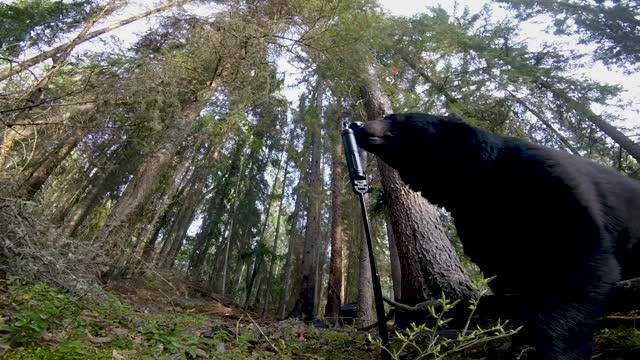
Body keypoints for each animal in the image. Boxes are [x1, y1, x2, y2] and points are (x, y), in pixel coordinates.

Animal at [350, 113, 640, 360]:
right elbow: (507, 273)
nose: (357, 125)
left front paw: (539, 348)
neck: (480, 185)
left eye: (395, 118)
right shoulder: (480, 226)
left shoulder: (546, 182)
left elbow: (578, 260)